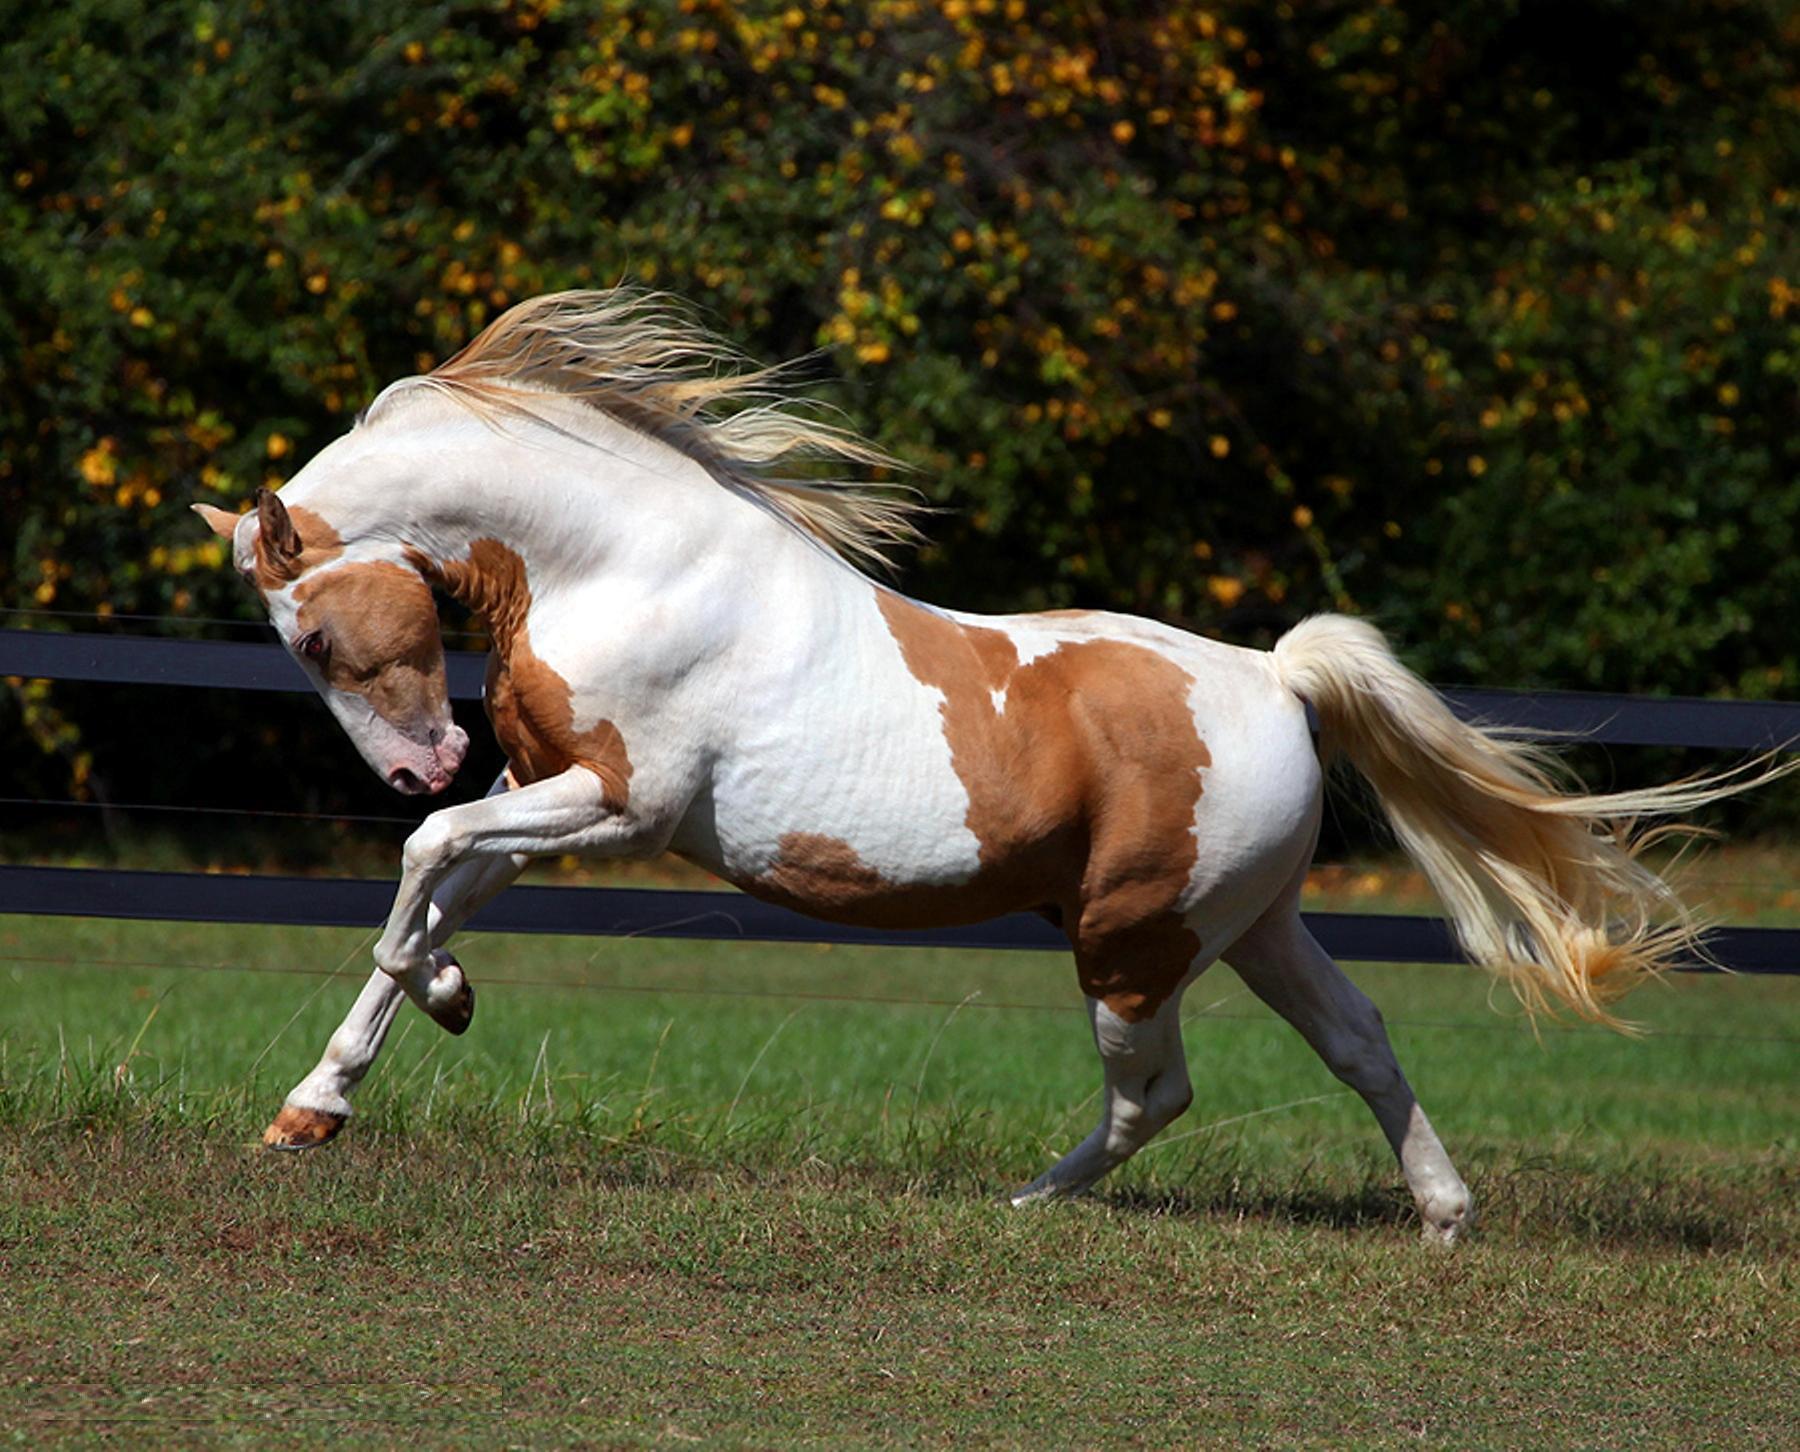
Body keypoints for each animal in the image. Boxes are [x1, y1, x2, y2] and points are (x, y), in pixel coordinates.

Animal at [195, 289, 1768, 1242]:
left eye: (316, 637)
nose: (418, 759)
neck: (620, 564)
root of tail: (1274, 678)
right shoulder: (543, 797)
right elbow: (440, 887)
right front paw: (326, 1098)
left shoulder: (621, 809)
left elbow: (426, 867)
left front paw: (403, 1023)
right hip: (1254, 921)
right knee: (1360, 1040)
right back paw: (1439, 1216)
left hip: (1133, 942)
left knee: (1158, 1093)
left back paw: (1023, 1205)